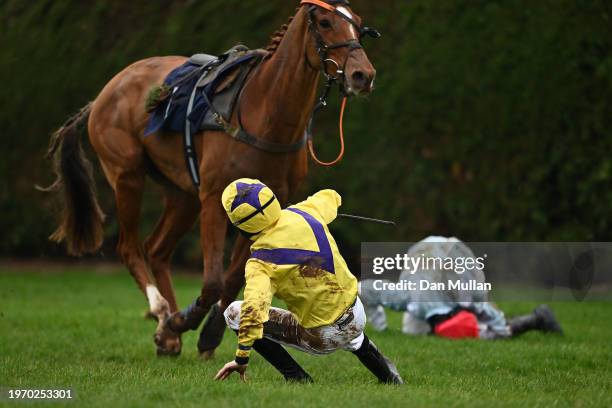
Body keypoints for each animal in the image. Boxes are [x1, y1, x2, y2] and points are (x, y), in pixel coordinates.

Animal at [44, 0, 372, 356]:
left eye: (358, 23)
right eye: (325, 22)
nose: (363, 74)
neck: (265, 113)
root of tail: (103, 94)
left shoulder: (268, 204)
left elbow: (233, 277)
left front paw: (208, 331)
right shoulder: (214, 197)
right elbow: (214, 279)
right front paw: (184, 321)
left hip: (182, 194)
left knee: (156, 249)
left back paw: (168, 332)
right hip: (127, 175)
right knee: (130, 247)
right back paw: (163, 312)